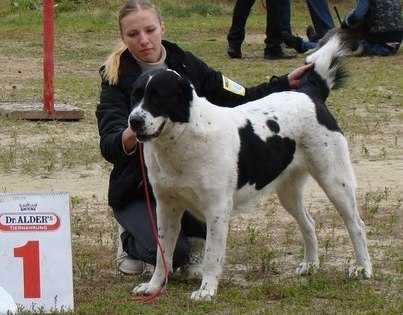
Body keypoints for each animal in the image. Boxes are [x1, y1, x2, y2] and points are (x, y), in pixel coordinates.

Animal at [128, 30, 374, 302]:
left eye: (158, 97)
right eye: (136, 95)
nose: (134, 121)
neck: (182, 138)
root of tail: (309, 92)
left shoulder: (217, 210)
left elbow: (212, 255)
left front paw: (206, 291)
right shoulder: (166, 207)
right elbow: (162, 252)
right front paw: (154, 286)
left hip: (335, 181)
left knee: (356, 225)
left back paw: (363, 268)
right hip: (289, 191)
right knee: (309, 223)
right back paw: (311, 265)